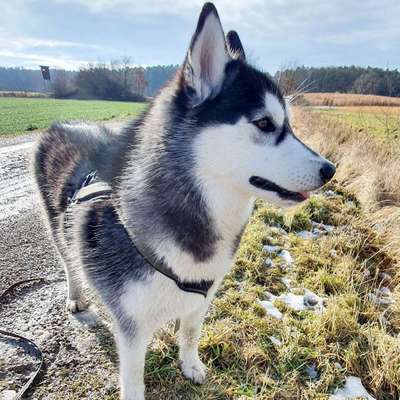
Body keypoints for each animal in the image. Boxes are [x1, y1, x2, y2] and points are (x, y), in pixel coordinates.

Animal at [34, 3, 336, 400]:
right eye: (264, 123)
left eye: (290, 124)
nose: (330, 170)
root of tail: (63, 123)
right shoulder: (131, 325)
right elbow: (134, 375)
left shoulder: (203, 295)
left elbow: (191, 333)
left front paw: (190, 365)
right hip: (58, 232)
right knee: (69, 263)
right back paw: (76, 295)